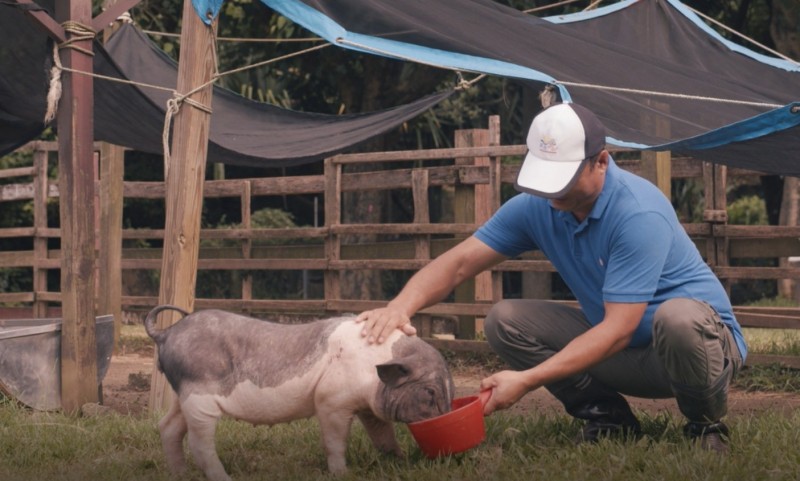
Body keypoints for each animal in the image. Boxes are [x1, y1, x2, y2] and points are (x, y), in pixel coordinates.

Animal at [145, 306, 456, 478]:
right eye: (429, 392)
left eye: (450, 391)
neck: (373, 365)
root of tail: (166, 333)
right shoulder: (331, 400)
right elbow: (334, 441)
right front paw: (343, 474)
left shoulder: (368, 407)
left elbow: (383, 437)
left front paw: (399, 462)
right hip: (199, 396)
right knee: (198, 443)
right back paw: (223, 478)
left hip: (183, 395)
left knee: (168, 427)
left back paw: (180, 474)